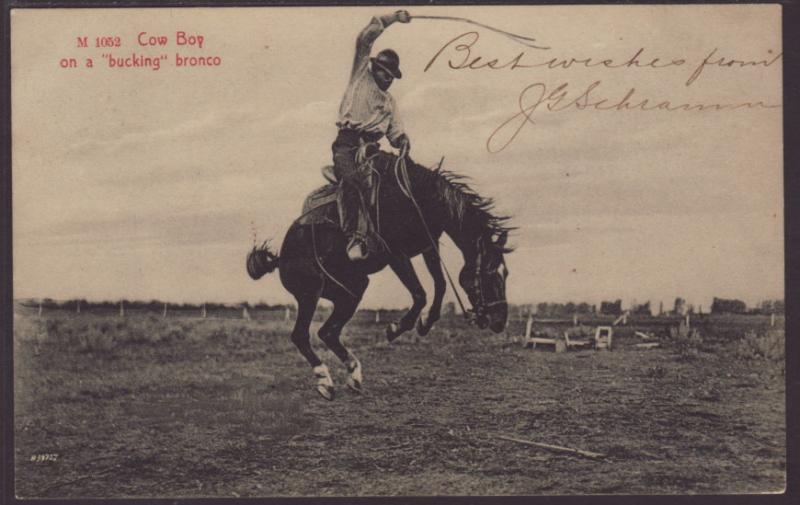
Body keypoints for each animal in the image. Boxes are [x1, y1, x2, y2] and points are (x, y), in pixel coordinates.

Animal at [247, 150, 516, 398]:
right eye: (491, 274)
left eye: (505, 274)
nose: (500, 321)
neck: (416, 197)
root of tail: (281, 257)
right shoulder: (396, 255)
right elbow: (420, 294)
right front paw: (396, 328)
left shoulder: (429, 247)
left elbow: (440, 286)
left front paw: (425, 324)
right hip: (310, 293)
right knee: (301, 335)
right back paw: (325, 381)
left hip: (351, 291)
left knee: (328, 332)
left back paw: (354, 376)